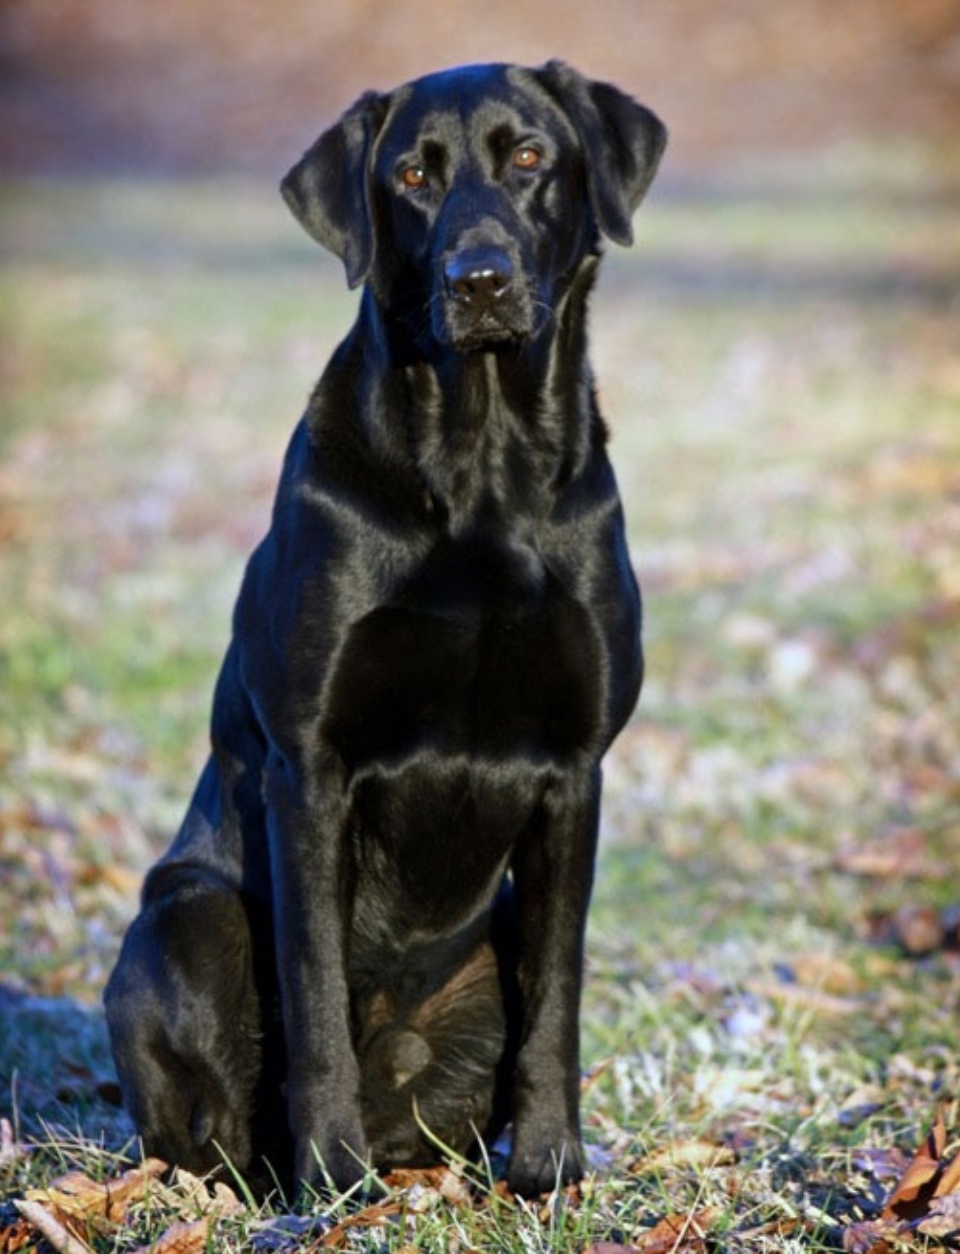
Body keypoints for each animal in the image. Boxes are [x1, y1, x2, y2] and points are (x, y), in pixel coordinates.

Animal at [101, 61, 666, 1203]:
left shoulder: (575, 772)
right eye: (412, 175)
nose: (478, 278)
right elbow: (315, 994)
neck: (482, 469)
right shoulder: (310, 770)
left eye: (529, 157)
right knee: (214, 1122)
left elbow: (559, 999)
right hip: (185, 920)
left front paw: (550, 1170)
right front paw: (330, 1180)